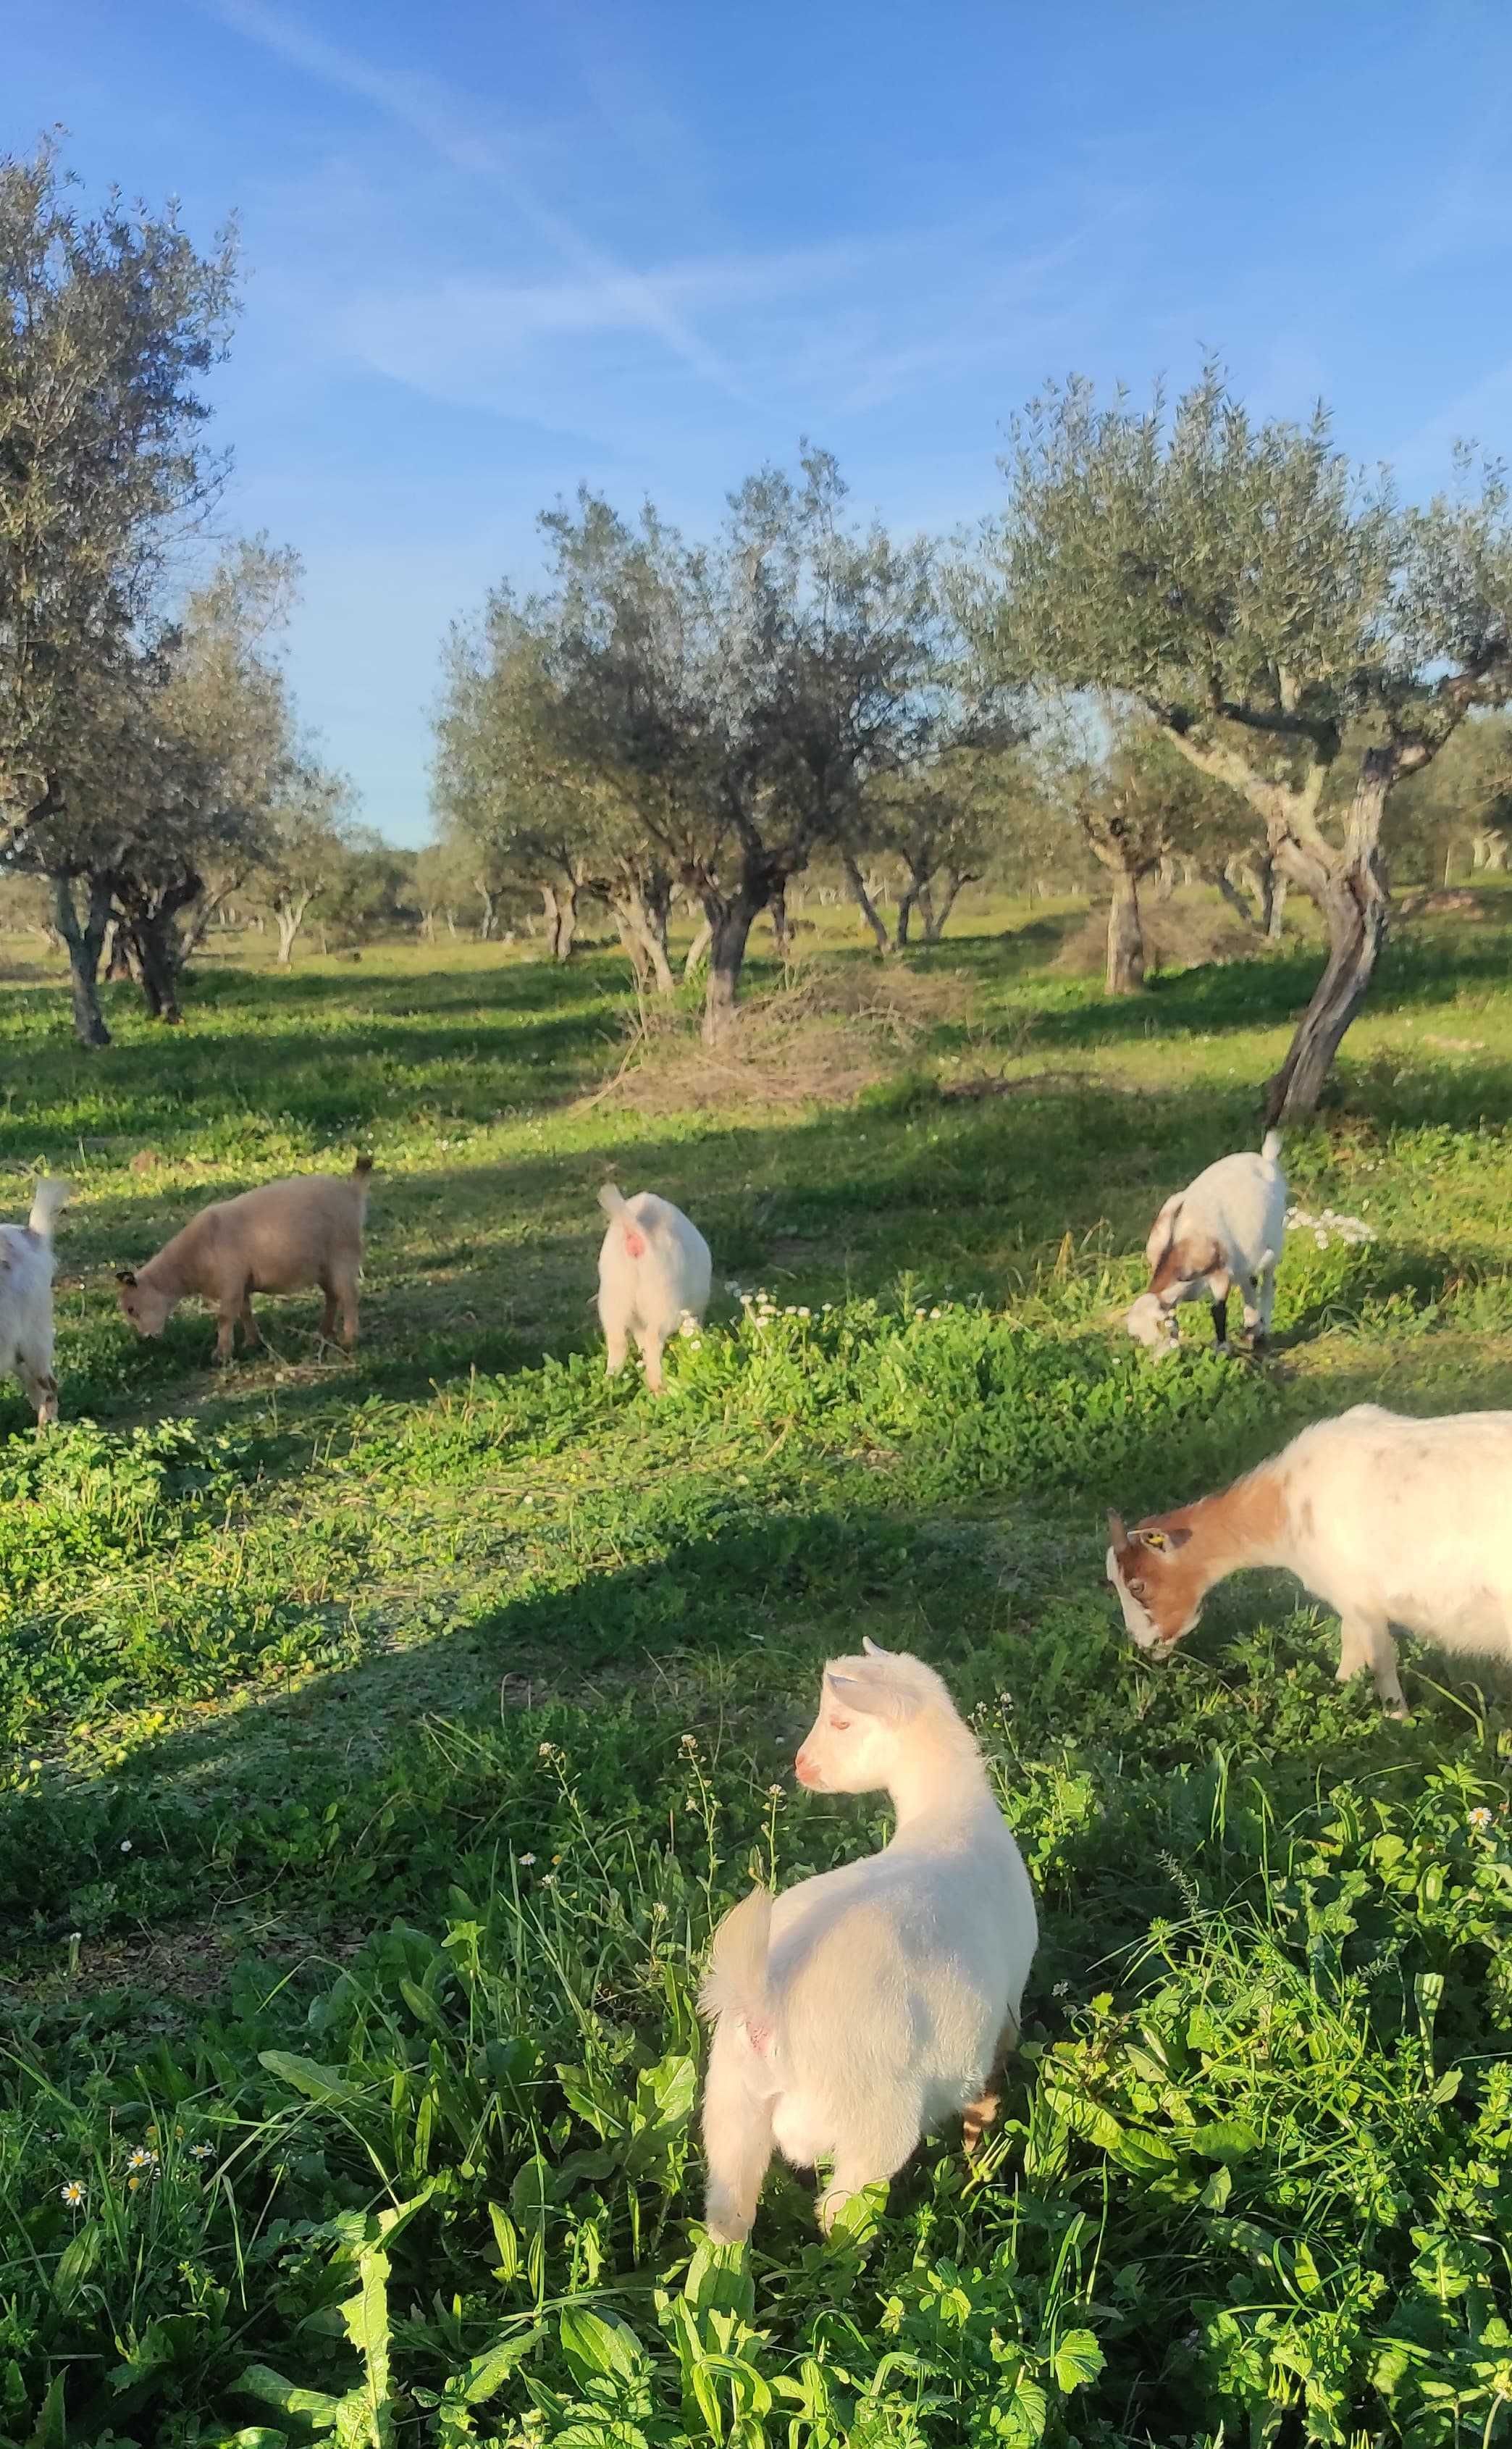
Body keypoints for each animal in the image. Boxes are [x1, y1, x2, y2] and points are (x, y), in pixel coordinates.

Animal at [1101, 1410, 1507, 1714]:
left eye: (1137, 1585)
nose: (1143, 1644)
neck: (1285, 1504)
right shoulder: (1349, 1599)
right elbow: (1351, 1649)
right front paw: (1339, 1694)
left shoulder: (1360, 1597)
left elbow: (1379, 1660)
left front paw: (1397, 1722)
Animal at [1120, 1126, 1282, 1361]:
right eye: (1137, 1336)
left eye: (1157, 1326)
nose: (1156, 1360)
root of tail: (1265, 1158)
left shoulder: (1221, 1276)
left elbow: (1218, 1311)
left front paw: (1222, 1349)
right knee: (1250, 1281)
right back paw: (1252, 1327)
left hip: (1276, 1239)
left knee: (1268, 1280)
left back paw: (1264, 1327)